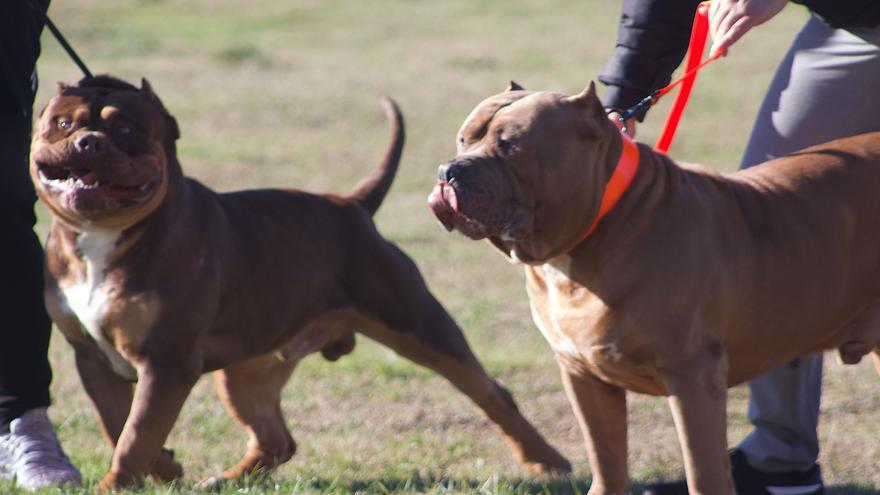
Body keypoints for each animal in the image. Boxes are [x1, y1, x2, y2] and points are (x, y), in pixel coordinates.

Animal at [29, 75, 572, 490]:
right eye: (62, 123)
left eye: (126, 127)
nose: (88, 141)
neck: (104, 235)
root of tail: (352, 205)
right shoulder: (92, 356)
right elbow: (119, 424)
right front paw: (163, 467)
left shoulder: (167, 361)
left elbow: (135, 431)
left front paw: (118, 482)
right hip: (246, 368)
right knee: (276, 439)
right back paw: (225, 480)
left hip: (420, 326)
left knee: (490, 392)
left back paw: (546, 461)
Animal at [430, 81, 880, 495]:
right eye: (463, 138)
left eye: (510, 145)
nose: (448, 171)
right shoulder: (584, 377)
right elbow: (607, 464)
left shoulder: (693, 377)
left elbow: (703, 472)